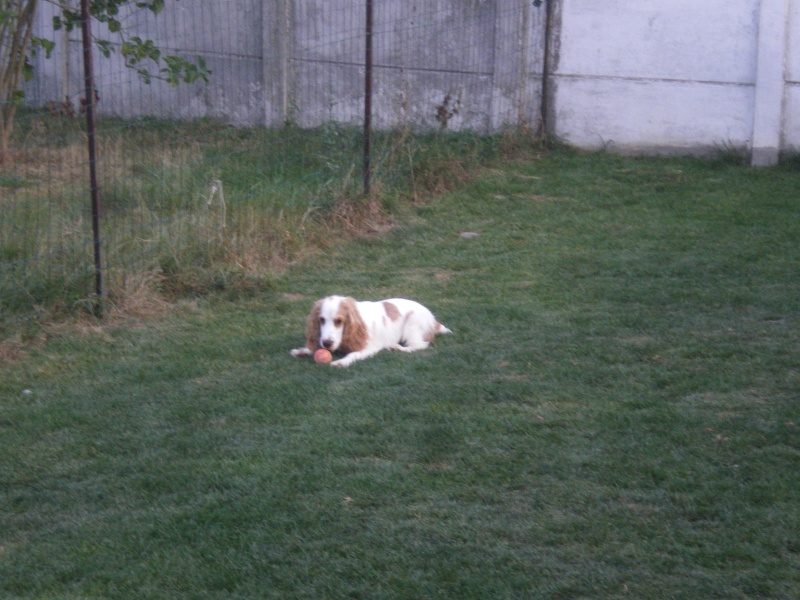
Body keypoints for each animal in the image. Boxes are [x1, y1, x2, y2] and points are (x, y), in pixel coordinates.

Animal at [290, 294, 450, 366]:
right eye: (321, 320)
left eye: (339, 321)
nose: (327, 344)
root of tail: (433, 320)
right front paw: (302, 351)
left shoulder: (370, 347)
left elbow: (353, 354)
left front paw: (341, 362)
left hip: (411, 325)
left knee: (419, 345)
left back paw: (397, 348)